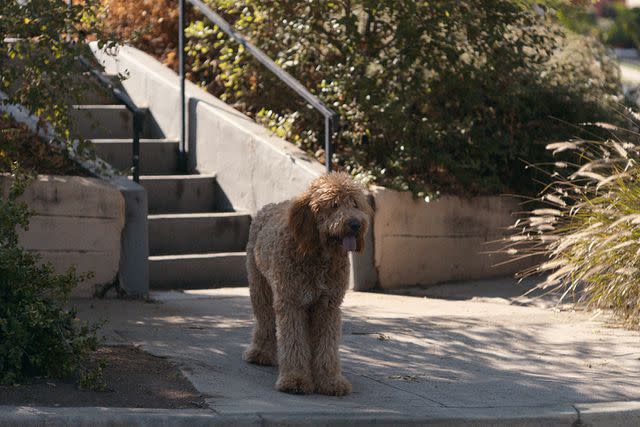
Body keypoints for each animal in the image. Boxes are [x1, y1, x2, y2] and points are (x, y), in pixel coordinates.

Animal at [242, 172, 372, 396]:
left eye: (355, 204)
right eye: (334, 204)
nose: (356, 224)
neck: (319, 255)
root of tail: (270, 206)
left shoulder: (327, 306)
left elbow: (327, 347)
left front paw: (330, 381)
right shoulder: (291, 303)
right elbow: (294, 341)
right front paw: (295, 379)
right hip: (260, 288)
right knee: (265, 321)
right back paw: (260, 353)